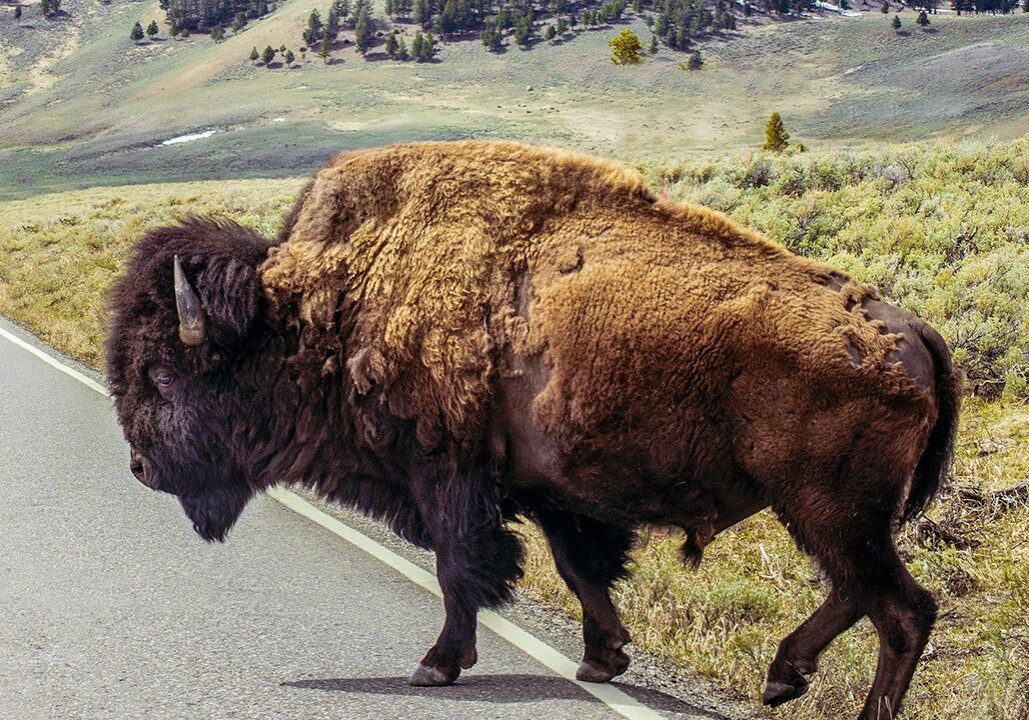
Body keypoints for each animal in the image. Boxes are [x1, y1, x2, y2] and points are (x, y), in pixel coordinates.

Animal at [106, 141, 961, 719]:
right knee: (862, 593)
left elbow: (460, 569)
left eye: (162, 374)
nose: (140, 467)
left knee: (901, 609)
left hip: (827, 508)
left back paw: (819, 690)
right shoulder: (548, 490)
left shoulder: (448, 473)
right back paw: (783, 675)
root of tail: (910, 328)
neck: (340, 296)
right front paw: (602, 659)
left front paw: (436, 666)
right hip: (828, 513)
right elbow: (579, 571)